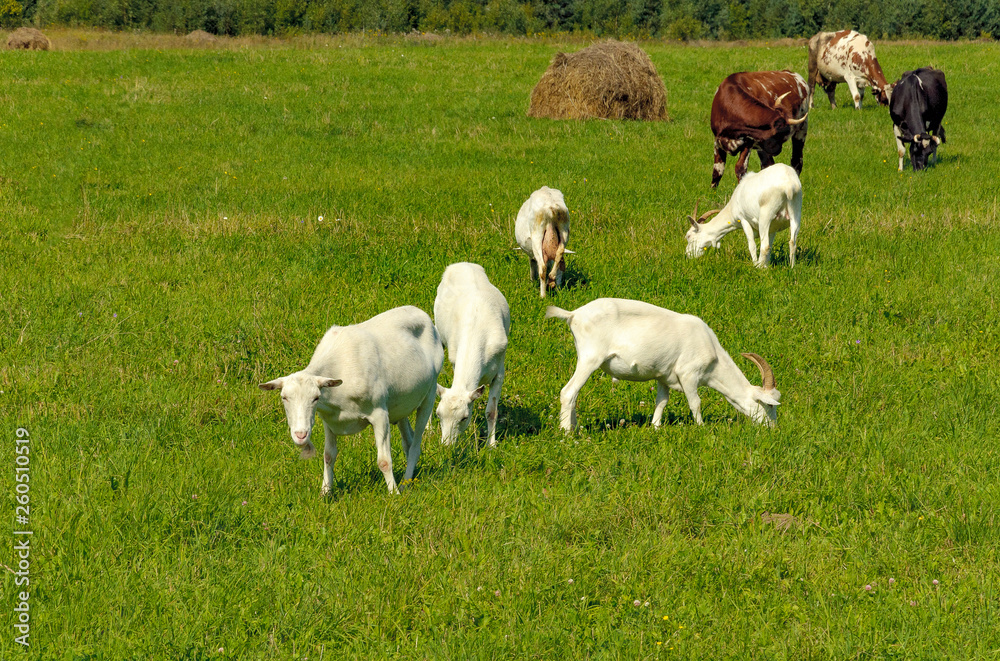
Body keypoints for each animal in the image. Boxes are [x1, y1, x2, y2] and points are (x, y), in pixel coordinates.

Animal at [260, 306, 443, 495]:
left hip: (429, 393)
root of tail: (421, 313)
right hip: (401, 406)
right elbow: (328, 456)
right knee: (408, 441)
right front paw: (325, 493)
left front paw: (393, 493)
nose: (301, 435)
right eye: (284, 397)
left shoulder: (379, 414)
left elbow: (384, 461)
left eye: (315, 398)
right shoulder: (329, 420)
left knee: (415, 445)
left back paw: (404, 484)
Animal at [433, 262, 511, 447]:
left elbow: (492, 411)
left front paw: (491, 445)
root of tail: (462, 264)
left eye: (464, 418)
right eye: (438, 414)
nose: (446, 446)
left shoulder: (500, 370)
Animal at [546, 298, 780, 431]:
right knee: (568, 392)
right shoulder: (688, 374)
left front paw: (656, 427)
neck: (713, 355)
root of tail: (574, 314)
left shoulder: (663, 376)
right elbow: (696, 402)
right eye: (769, 405)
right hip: (590, 358)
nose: (773, 428)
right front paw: (702, 428)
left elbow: (662, 401)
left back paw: (575, 428)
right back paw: (567, 433)